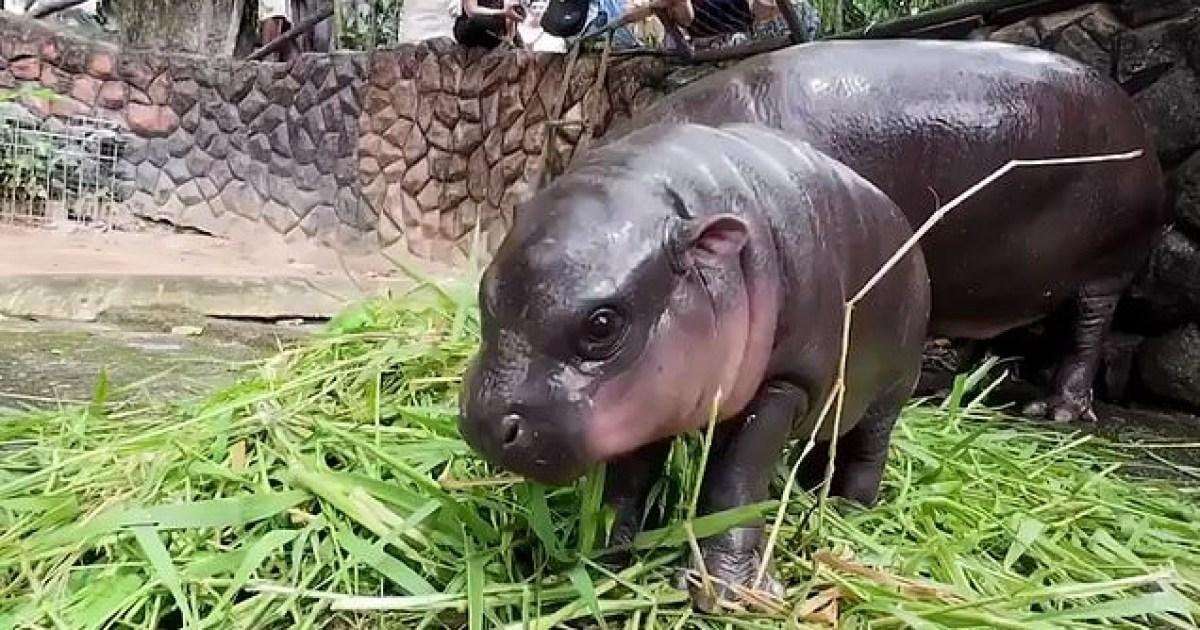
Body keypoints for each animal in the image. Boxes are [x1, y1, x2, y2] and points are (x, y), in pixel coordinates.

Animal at [459, 122, 930, 603]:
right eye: (485, 287)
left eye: (602, 325)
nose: (484, 422)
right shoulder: (645, 399)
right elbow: (628, 479)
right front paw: (608, 561)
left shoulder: (784, 384)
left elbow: (735, 479)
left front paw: (727, 591)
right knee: (828, 440)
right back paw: (815, 491)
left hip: (891, 391)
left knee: (867, 449)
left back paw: (850, 511)